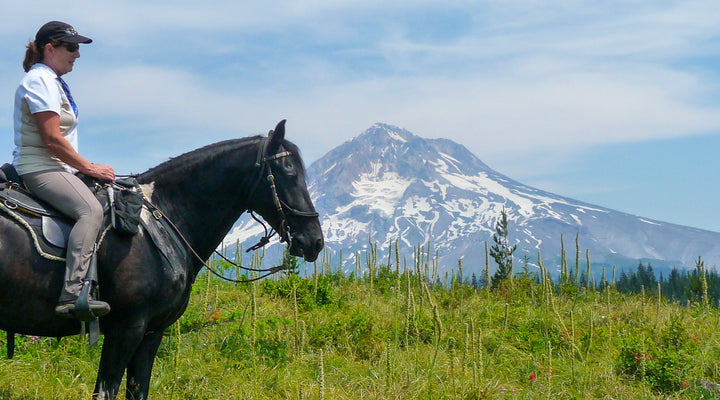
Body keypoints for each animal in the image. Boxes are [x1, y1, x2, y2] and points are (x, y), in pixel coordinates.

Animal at [0, 120, 324, 399]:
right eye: (289, 173)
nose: (315, 241)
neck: (163, 217)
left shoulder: (152, 332)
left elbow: (137, 391)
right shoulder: (127, 328)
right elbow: (105, 391)